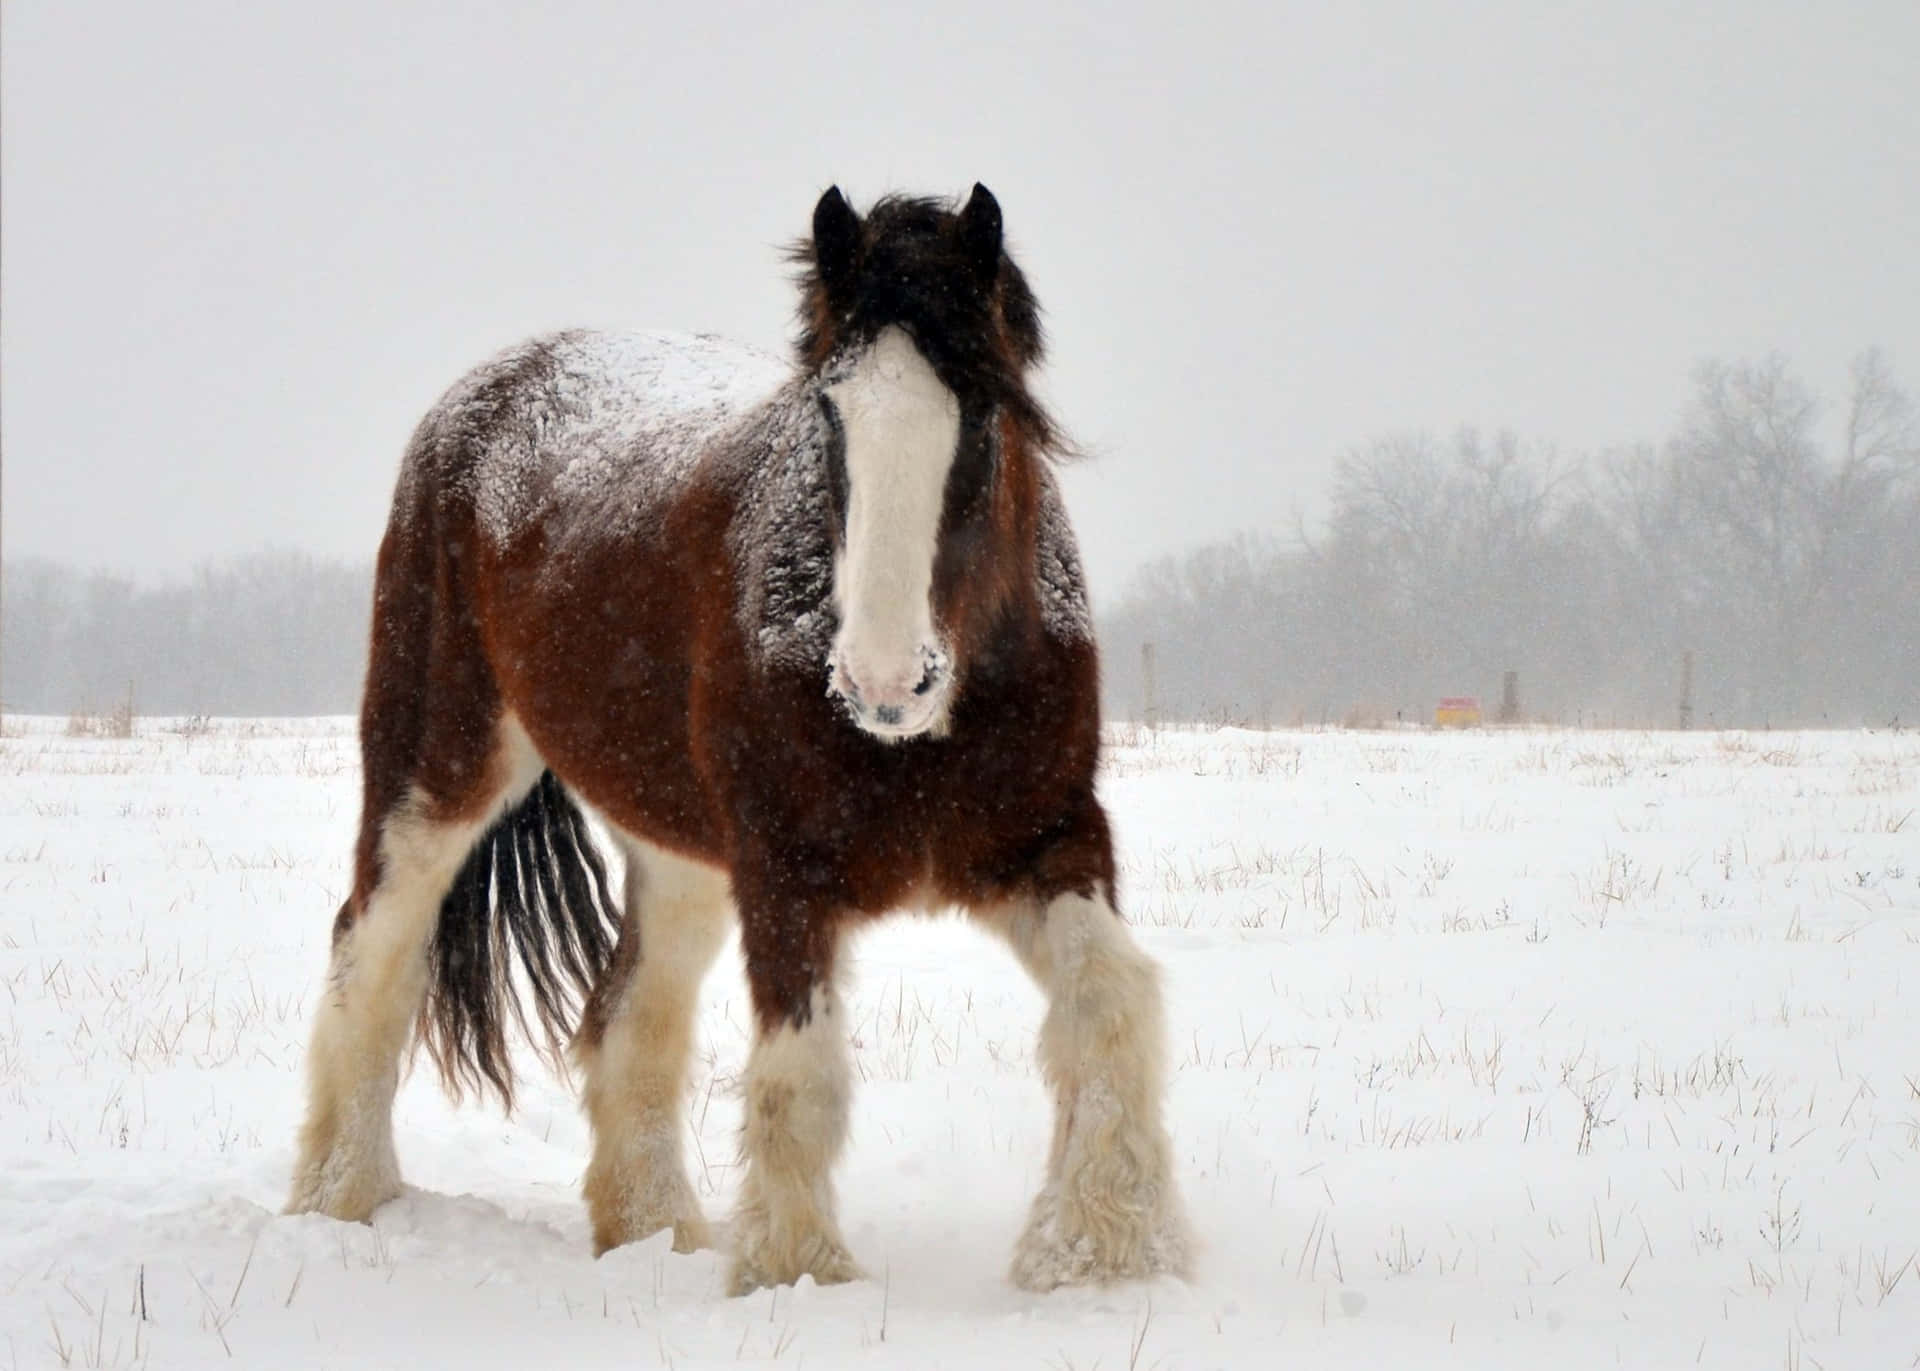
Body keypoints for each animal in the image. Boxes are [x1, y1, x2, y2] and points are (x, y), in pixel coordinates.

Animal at [285, 183, 1192, 1295]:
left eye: (983, 415)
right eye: (829, 414)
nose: (883, 681)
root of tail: (484, 392)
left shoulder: (1046, 839)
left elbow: (1113, 1000)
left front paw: (1100, 1249)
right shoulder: (783, 871)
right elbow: (801, 1075)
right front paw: (799, 1272)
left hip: (676, 851)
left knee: (626, 1018)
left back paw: (654, 1234)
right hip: (434, 770)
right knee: (369, 962)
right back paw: (341, 1200)